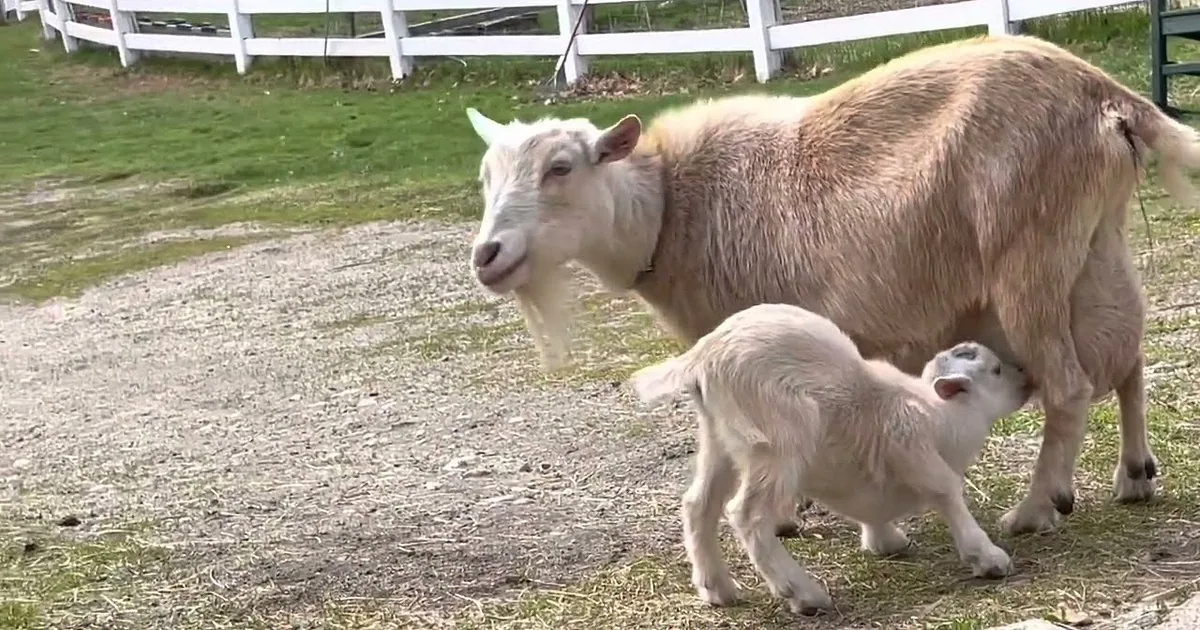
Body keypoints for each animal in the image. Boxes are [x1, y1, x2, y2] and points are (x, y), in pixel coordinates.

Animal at [463, 33, 1200, 537]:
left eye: (561, 167)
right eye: (485, 175)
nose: (488, 255)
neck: (670, 207)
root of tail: (1110, 97)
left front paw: (791, 514)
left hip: (1030, 254)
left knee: (1070, 384)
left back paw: (1035, 507)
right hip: (1093, 246)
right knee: (1128, 356)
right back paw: (1134, 475)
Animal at [628, 302, 1032, 613]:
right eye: (996, 370)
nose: (1028, 382)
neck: (940, 413)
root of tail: (703, 355)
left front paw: (884, 540)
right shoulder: (913, 449)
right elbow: (947, 492)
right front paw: (989, 558)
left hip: (720, 437)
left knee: (699, 504)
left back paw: (717, 589)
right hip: (778, 439)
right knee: (746, 514)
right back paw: (802, 593)